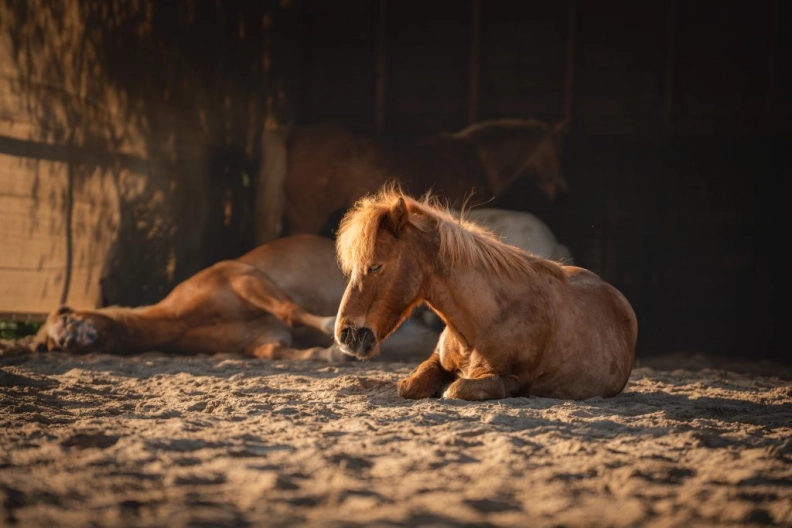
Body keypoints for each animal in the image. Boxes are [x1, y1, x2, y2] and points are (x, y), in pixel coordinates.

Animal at [32, 234, 439, 361]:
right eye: (49, 346)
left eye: (63, 319)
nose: (68, 340)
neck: (181, 319)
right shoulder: (265, 339)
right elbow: (278, 351)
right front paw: (330, 353)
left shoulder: (244, 278)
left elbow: (290, 310)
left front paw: (330, 329)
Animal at [334, 189, 638, 401]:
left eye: (375, 266)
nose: (346, 335)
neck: (482, 322)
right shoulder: (435, 361)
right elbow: (409, 386)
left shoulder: (511, 379)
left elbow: (455, 390)